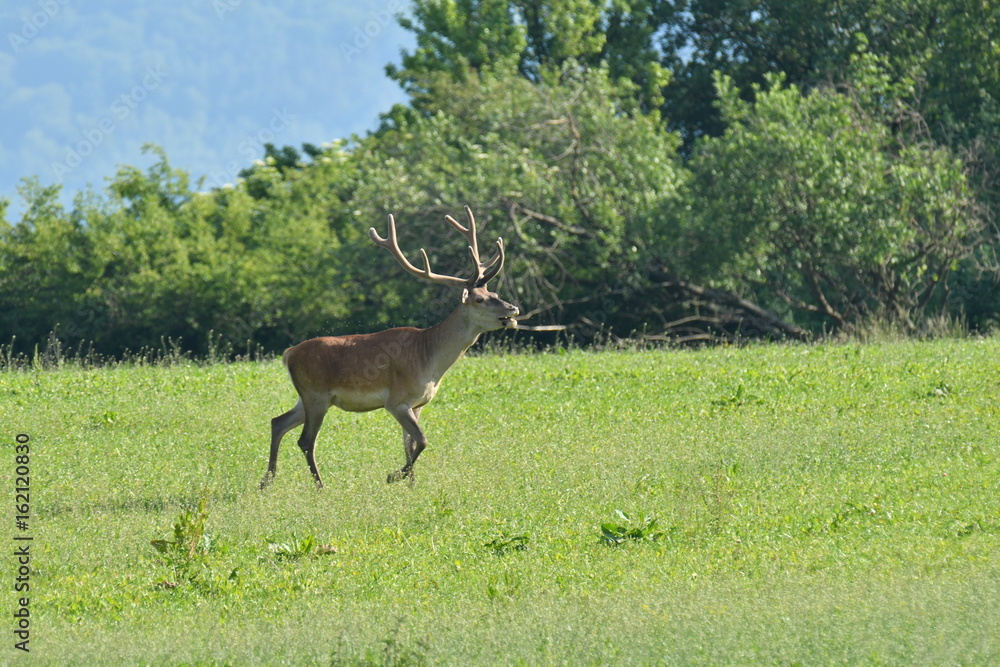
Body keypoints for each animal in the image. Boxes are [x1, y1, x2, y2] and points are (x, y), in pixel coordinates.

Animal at [260, 206, 519, 489]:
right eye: (479, 299)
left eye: (495, 293)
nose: (513, 309)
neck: (430, 362)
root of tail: (288, 354)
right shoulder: (396, 400)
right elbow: (422, 440)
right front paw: (394, 476)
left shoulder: (418, 403)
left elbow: (409, 444)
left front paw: (412, 485)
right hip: (316, 395)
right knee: (305, 440)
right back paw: (320, 487)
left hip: (308, 397)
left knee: (278, 422)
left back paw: (266, 481)